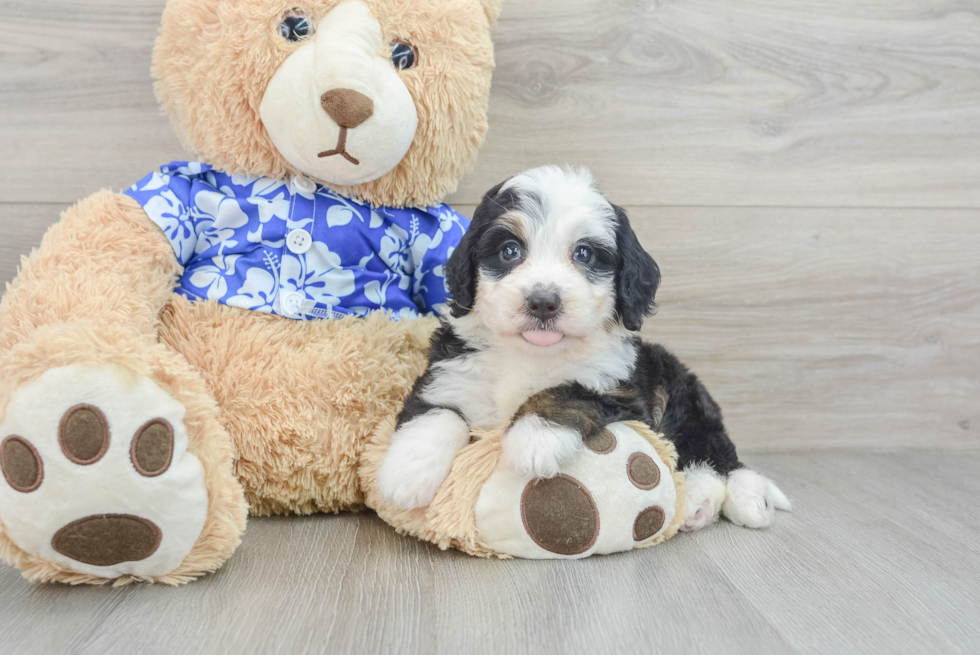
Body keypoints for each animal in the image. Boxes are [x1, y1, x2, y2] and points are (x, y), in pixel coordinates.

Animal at [378, 167, 792, 532]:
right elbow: (436, 413)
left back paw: (717, 499)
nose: (543, 302)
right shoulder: (450, 372)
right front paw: (406, 472)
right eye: (510, 251)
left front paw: (534, 438)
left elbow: (567, 390)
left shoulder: (621, 391)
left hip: (681, 397)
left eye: (585, 254)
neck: (529, 355)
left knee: (713, 454)